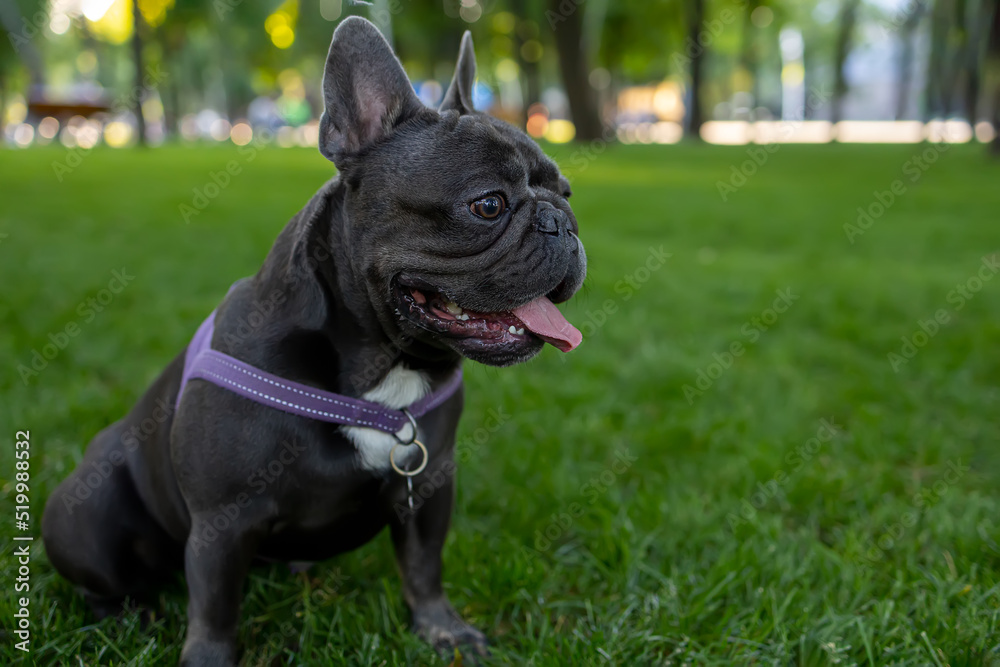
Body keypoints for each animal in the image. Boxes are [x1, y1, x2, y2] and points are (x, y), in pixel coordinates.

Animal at [43, 18, 584, 664]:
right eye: (488, 204)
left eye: (567, 194)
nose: (563, 224)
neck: (384, 367)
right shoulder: (222, 522)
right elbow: (214, 609)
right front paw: (206, 658)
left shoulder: (429, 487)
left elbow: (423, 568)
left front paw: (442, 631)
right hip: (87, 511)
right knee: (101, 580)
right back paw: (130, 616)